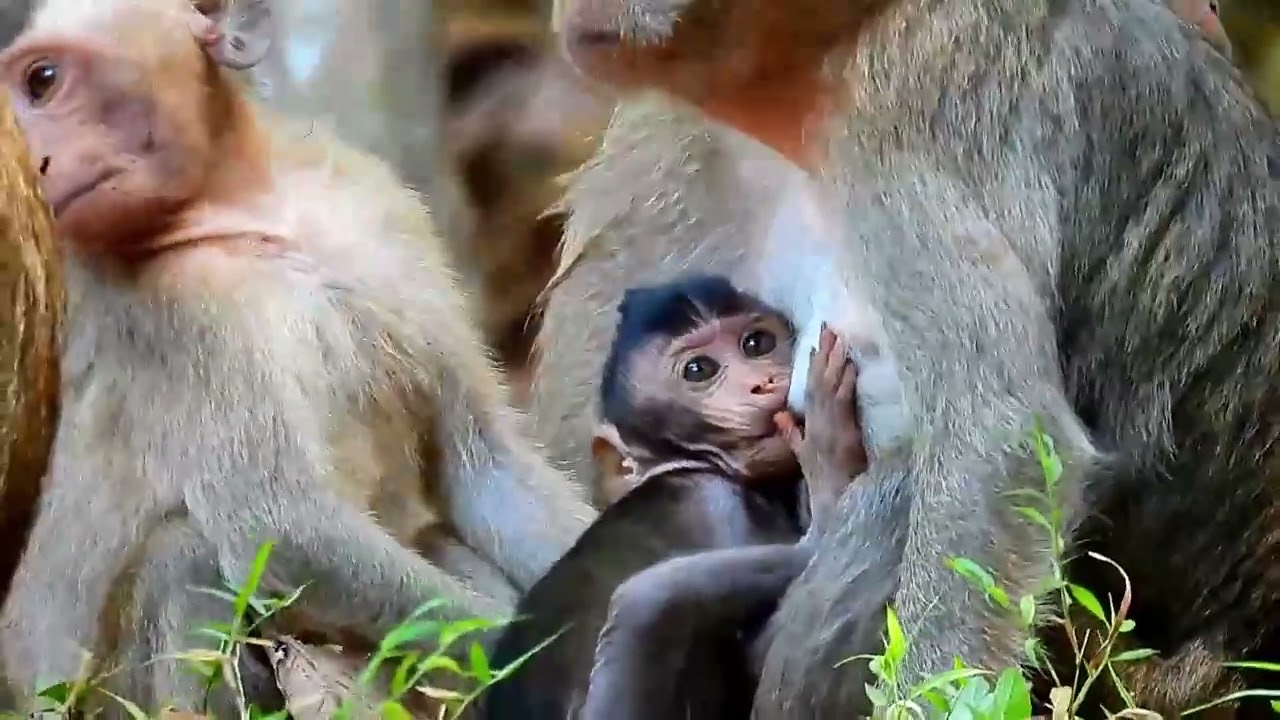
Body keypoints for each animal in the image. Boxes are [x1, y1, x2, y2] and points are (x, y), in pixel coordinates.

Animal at [0, 0, 594, 714]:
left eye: (43, 81)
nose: (36, 162)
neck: (251, 219)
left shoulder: (382, 212)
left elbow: (482, 463)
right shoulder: (176, 316)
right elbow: (283, 530)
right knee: (185, 554)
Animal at [484, 275, 888, 719]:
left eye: (757, 343)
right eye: (698, 370)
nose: (762, 383)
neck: (686, 462)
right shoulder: (717, 503)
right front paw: (829, 462)